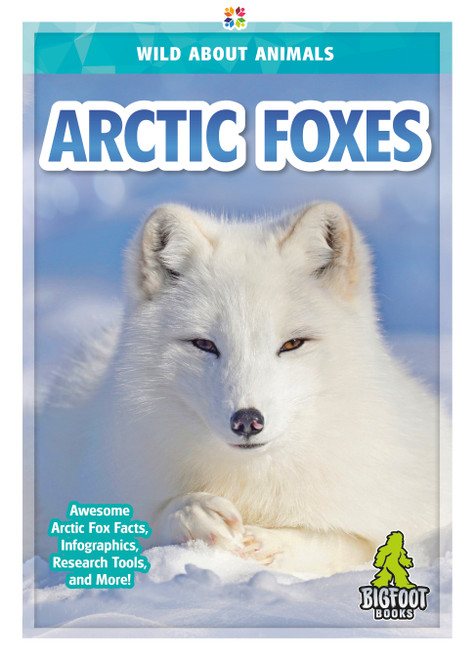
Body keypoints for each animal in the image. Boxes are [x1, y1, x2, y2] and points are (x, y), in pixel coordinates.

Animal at [35, 201, 446, 576]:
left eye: (292, 344)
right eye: (204, 344)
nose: (247, 420)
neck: (252, 482)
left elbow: (350, 542)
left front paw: (274, 542)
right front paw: (194, 512)